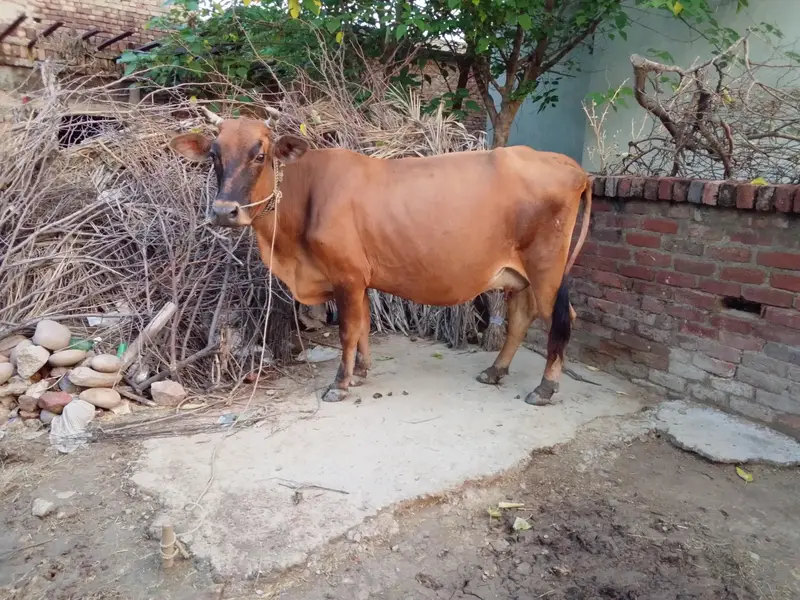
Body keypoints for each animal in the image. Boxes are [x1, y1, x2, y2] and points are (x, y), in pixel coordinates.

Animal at [169, 115, 591, 405]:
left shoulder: (347, 276)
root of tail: (570, 166)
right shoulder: (361, 279)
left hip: (548, 268)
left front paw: (340, 383)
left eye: (260, 155)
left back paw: (545, 387)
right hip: (519, 274)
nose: (224, 212)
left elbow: (347, 330)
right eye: (214, 155)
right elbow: (364, 326)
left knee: (560, 319)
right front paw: (361, 372)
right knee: (520, 318)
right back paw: (495, 371)